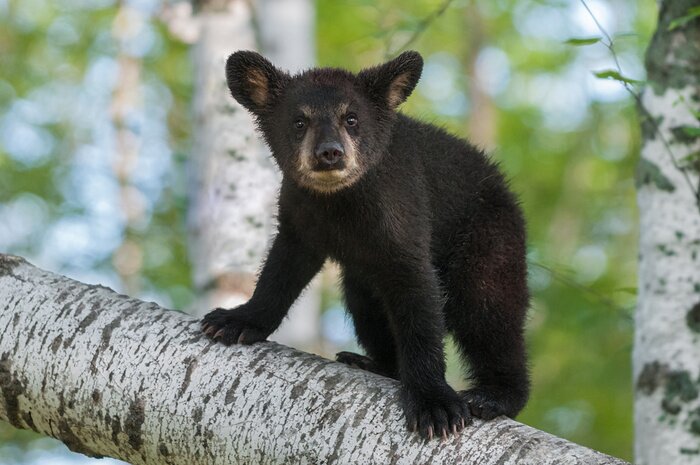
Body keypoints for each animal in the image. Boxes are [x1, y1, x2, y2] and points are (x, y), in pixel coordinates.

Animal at [201, 50, 530, 440]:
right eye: (299, 121)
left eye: (351, 118)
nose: (329, 152)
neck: (339, 204)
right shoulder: (301, 217)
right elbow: (281, 271)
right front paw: (235, 320)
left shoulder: (402, 213)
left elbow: (418, 298)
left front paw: (434, 404)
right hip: (362, 281)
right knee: (368, 305)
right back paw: (370, 362)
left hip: (489, 237)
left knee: (489, 308)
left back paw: (493, 395)